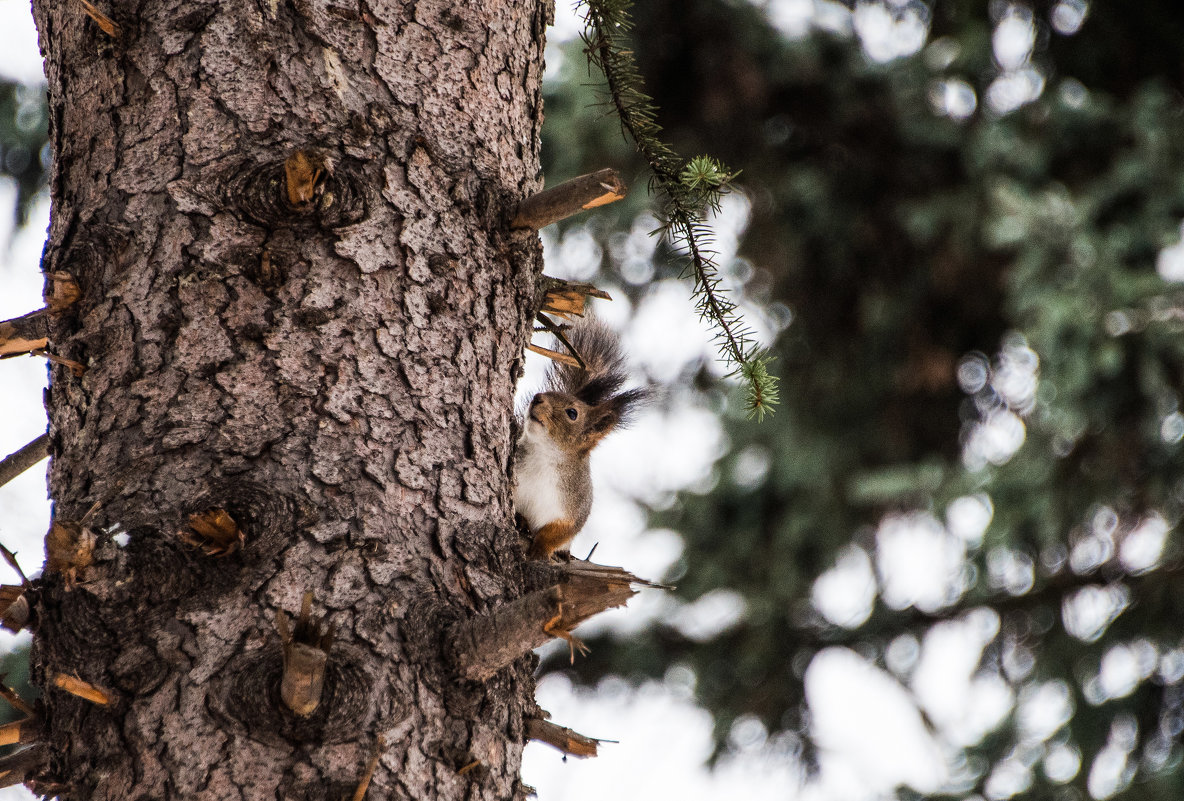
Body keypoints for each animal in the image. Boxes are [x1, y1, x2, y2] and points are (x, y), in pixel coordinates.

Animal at [513, 319, 648, 556]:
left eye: (572, 413)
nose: (537, 398)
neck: (543, 456)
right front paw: (521, 520)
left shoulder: (574, 507)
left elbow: (561, 531)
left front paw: (541, 548)